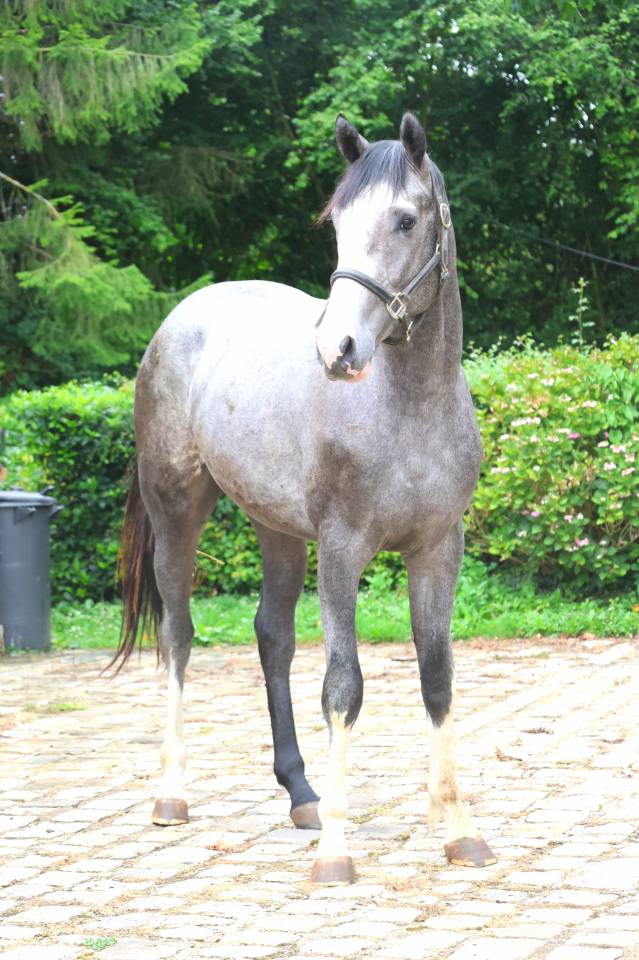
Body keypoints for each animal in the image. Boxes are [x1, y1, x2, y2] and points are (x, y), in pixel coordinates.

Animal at [114, 111, 496, 884]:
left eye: (405, 220)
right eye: (338, 223)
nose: (337, 349)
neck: (408, 407)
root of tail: (180, 319)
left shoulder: (438, 548)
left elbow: (436, 676)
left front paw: (456, 826)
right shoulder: (343, 549)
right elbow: (344, 685)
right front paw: (337, 852)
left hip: (279, 530)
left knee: (272, 637)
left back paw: (301, 792)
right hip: (178, 511)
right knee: (178, 635)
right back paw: (172, 792)